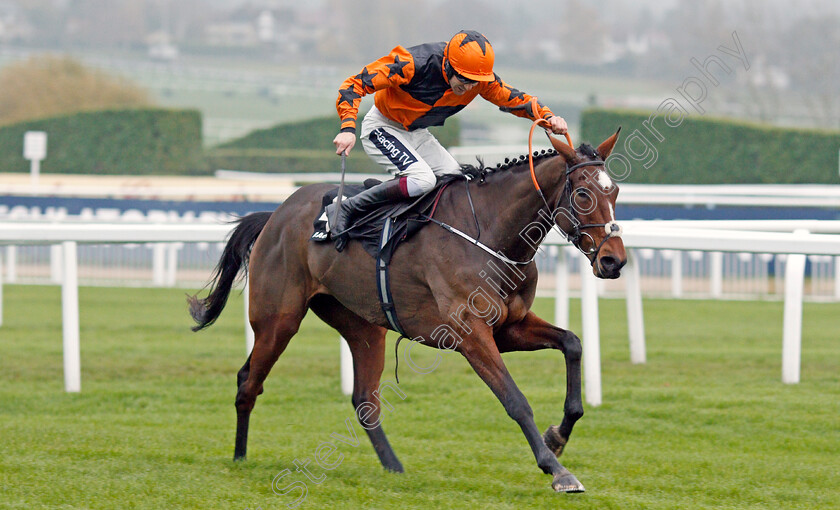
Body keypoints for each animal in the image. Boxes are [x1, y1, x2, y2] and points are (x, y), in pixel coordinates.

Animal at [189, 127, 624, 494]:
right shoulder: (470, 333)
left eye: (615, 191)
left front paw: (558, 436)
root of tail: (275, 214)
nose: (613, 261)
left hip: (363, 326)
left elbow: (573, 343)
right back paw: (239, 458)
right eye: (583, 195)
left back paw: (393, 467)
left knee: (364, 400)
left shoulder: (508, 327)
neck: (489, 233)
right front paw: (558, 470)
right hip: (278, 319)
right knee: (249, 381)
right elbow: (515, 400)